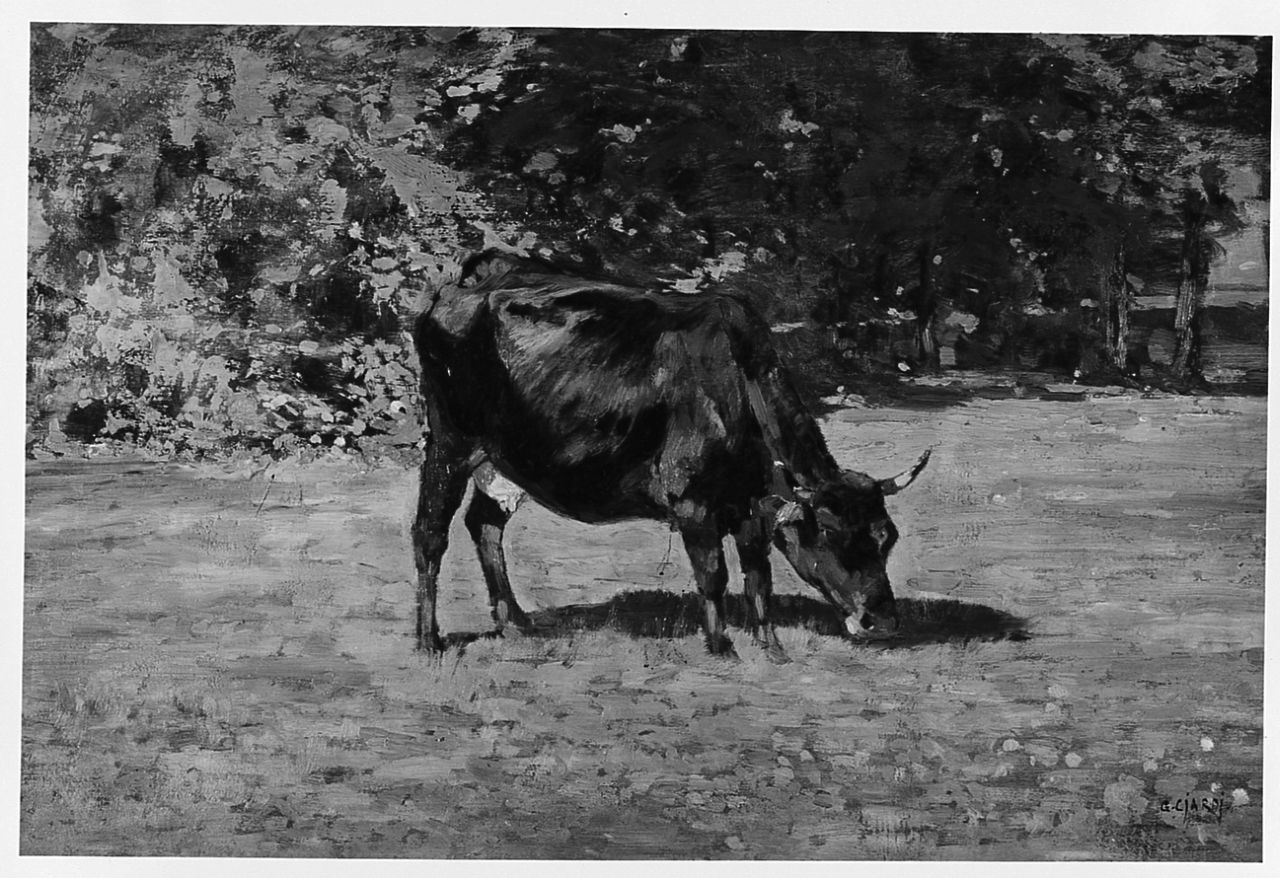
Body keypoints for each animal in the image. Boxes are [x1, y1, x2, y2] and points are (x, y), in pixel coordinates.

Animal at [410, 250, 930, 655]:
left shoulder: (750, 508)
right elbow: (714, 575)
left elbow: (758, 576)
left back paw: (516, 621)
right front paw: (722, 649)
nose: (882, 622)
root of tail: (477, 274)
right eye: (830, 534)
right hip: (451, 442)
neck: (737, 385)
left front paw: (771, 647)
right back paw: (429, 640)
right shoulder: (692, 502)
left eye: (887, 536)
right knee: (430, 533)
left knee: (485, 525)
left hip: (504, 460)